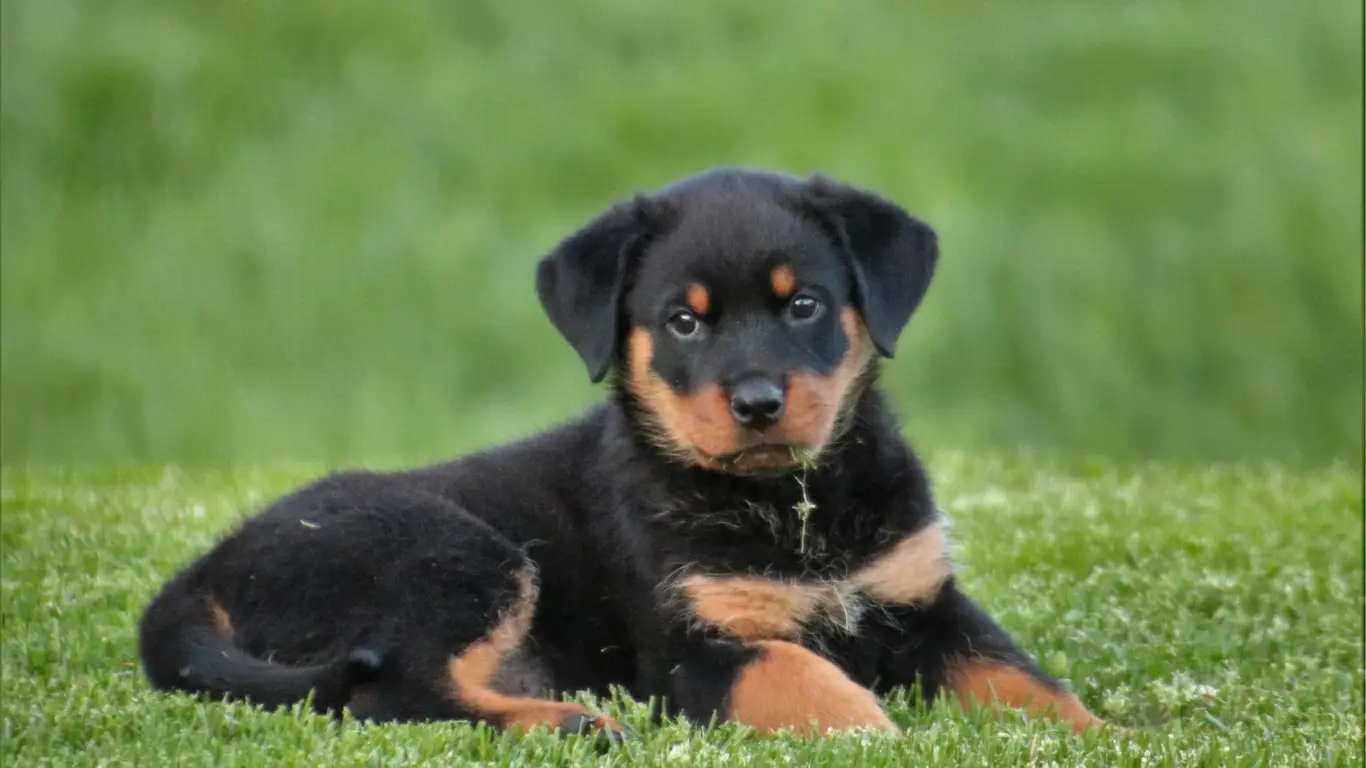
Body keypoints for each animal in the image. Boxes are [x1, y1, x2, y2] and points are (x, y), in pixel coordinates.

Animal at [138, 166, 1103, 737]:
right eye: (683, 321)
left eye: (805, 306)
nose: (758, 403)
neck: (792, 506)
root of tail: (201, 570)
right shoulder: (691, 649)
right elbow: (807, 676)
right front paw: (884, 737)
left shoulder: (926, 602)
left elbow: (1029, 683)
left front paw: (1113, 734)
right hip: (455, 553)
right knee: (390, 692)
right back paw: (575, 725)